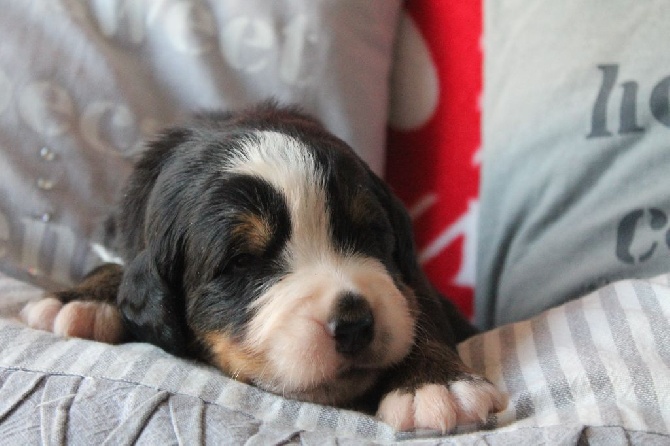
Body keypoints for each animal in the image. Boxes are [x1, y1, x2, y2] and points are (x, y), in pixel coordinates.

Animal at [21, 103, 506, 432]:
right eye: (242, 262)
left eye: (370, 236)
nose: (354, 323)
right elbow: (120, 263)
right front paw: (80, 298)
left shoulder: (409, 281)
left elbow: (416, 305)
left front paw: (437, 384)